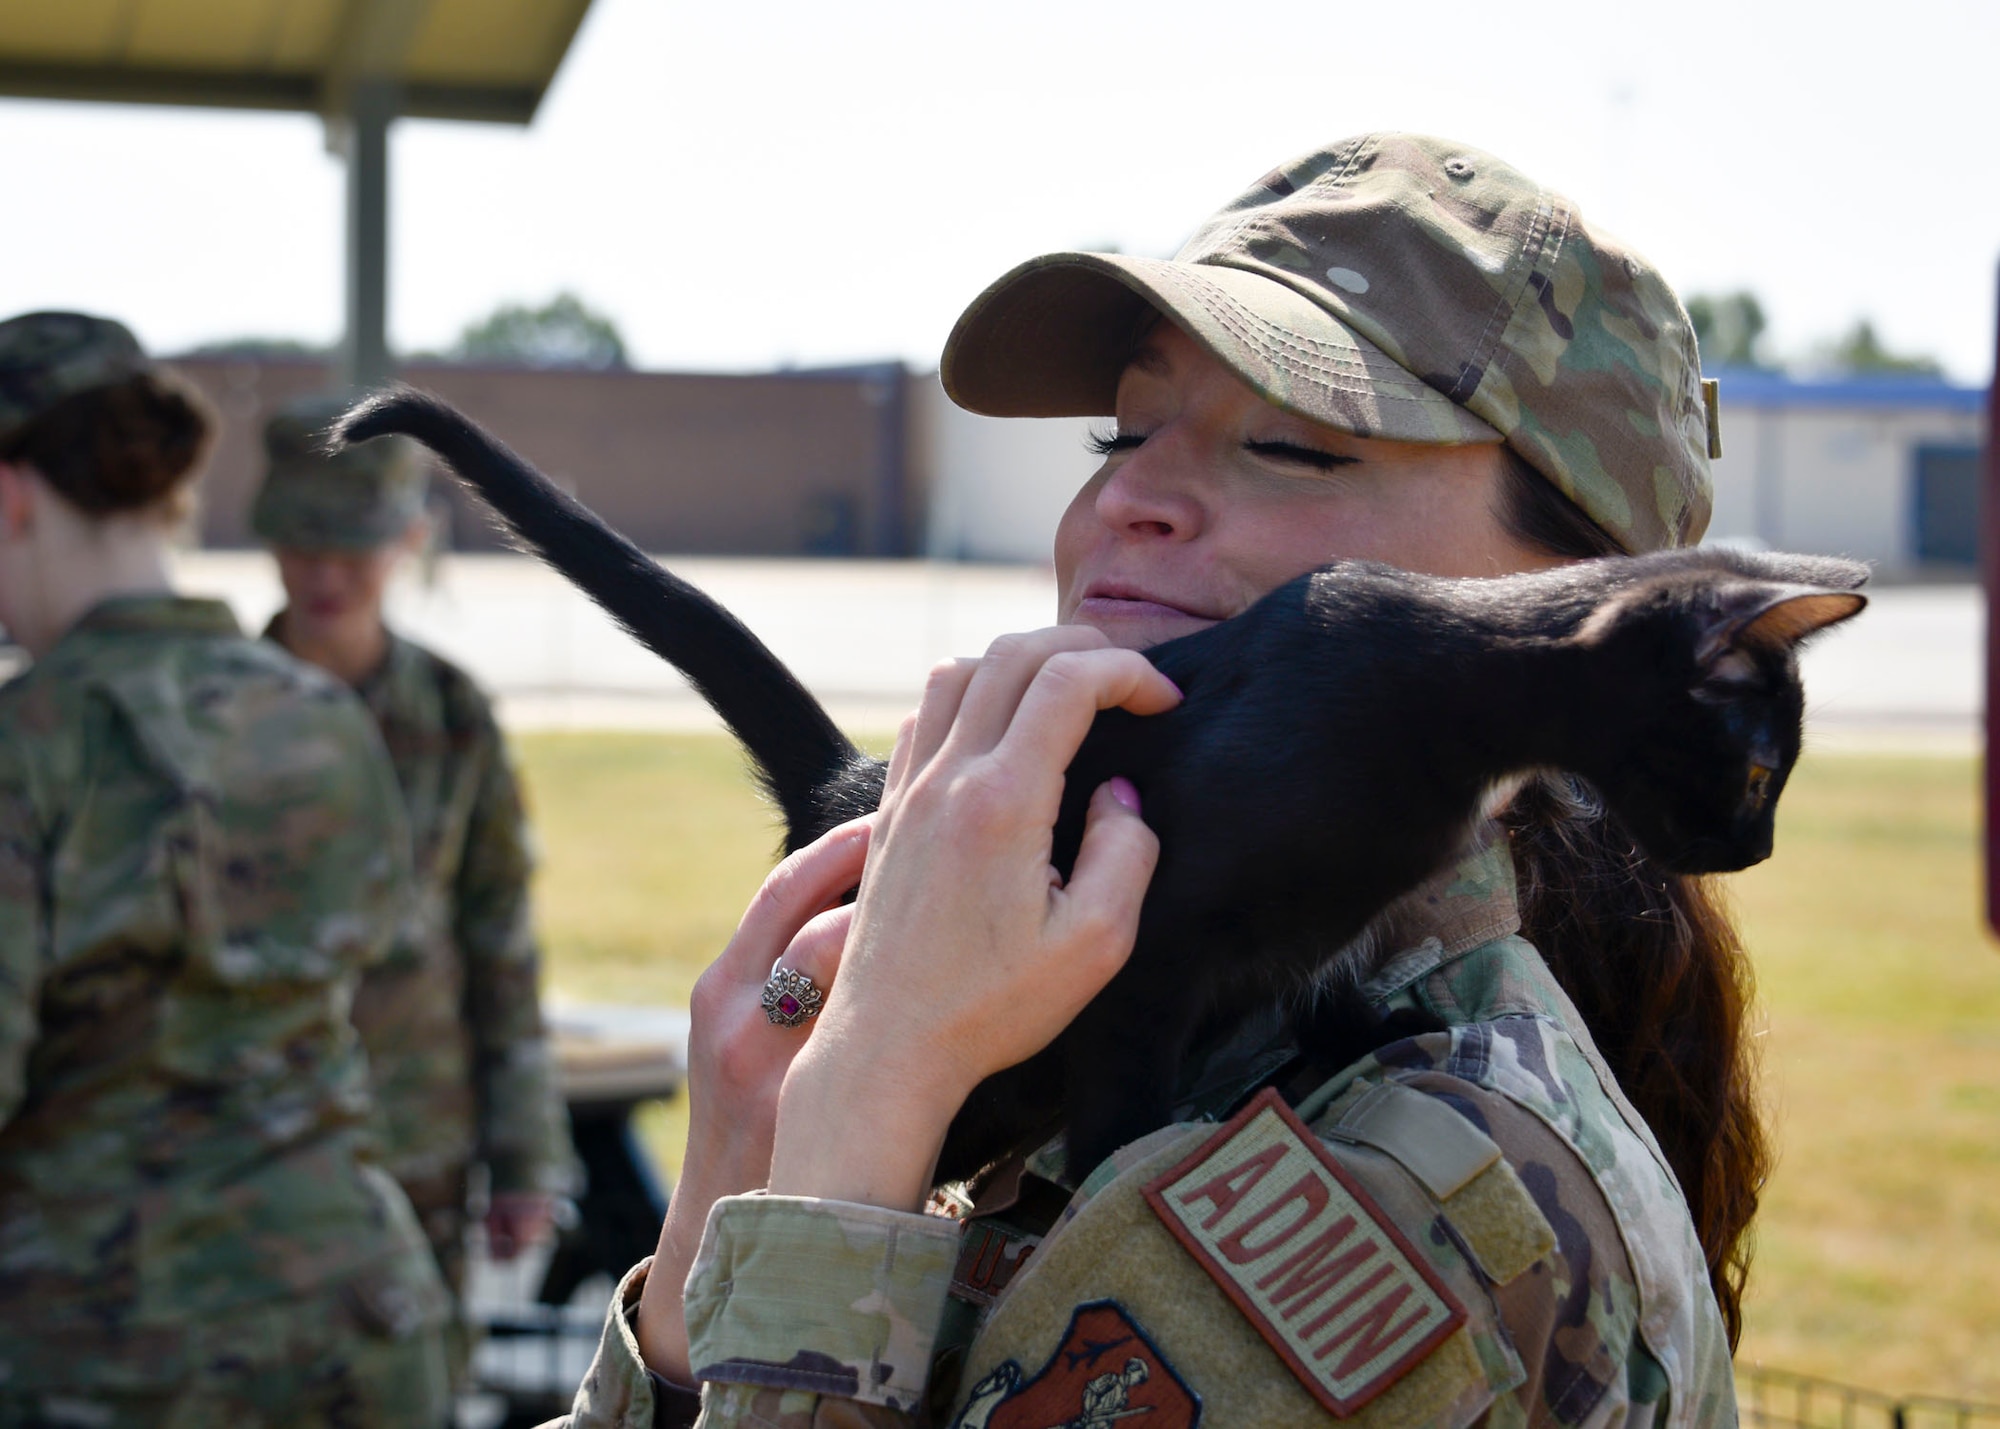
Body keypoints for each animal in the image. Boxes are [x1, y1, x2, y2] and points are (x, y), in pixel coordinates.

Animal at [336, 390, 1864, 1176]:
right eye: (1756, 765)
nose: (1758, 851)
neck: (1445, 717)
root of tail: (851, 779)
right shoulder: (1154, 954)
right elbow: (1131, 1095)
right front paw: (1140, 1152)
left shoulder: (1305, 936)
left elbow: (1326, 989)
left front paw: (1361, 1030)